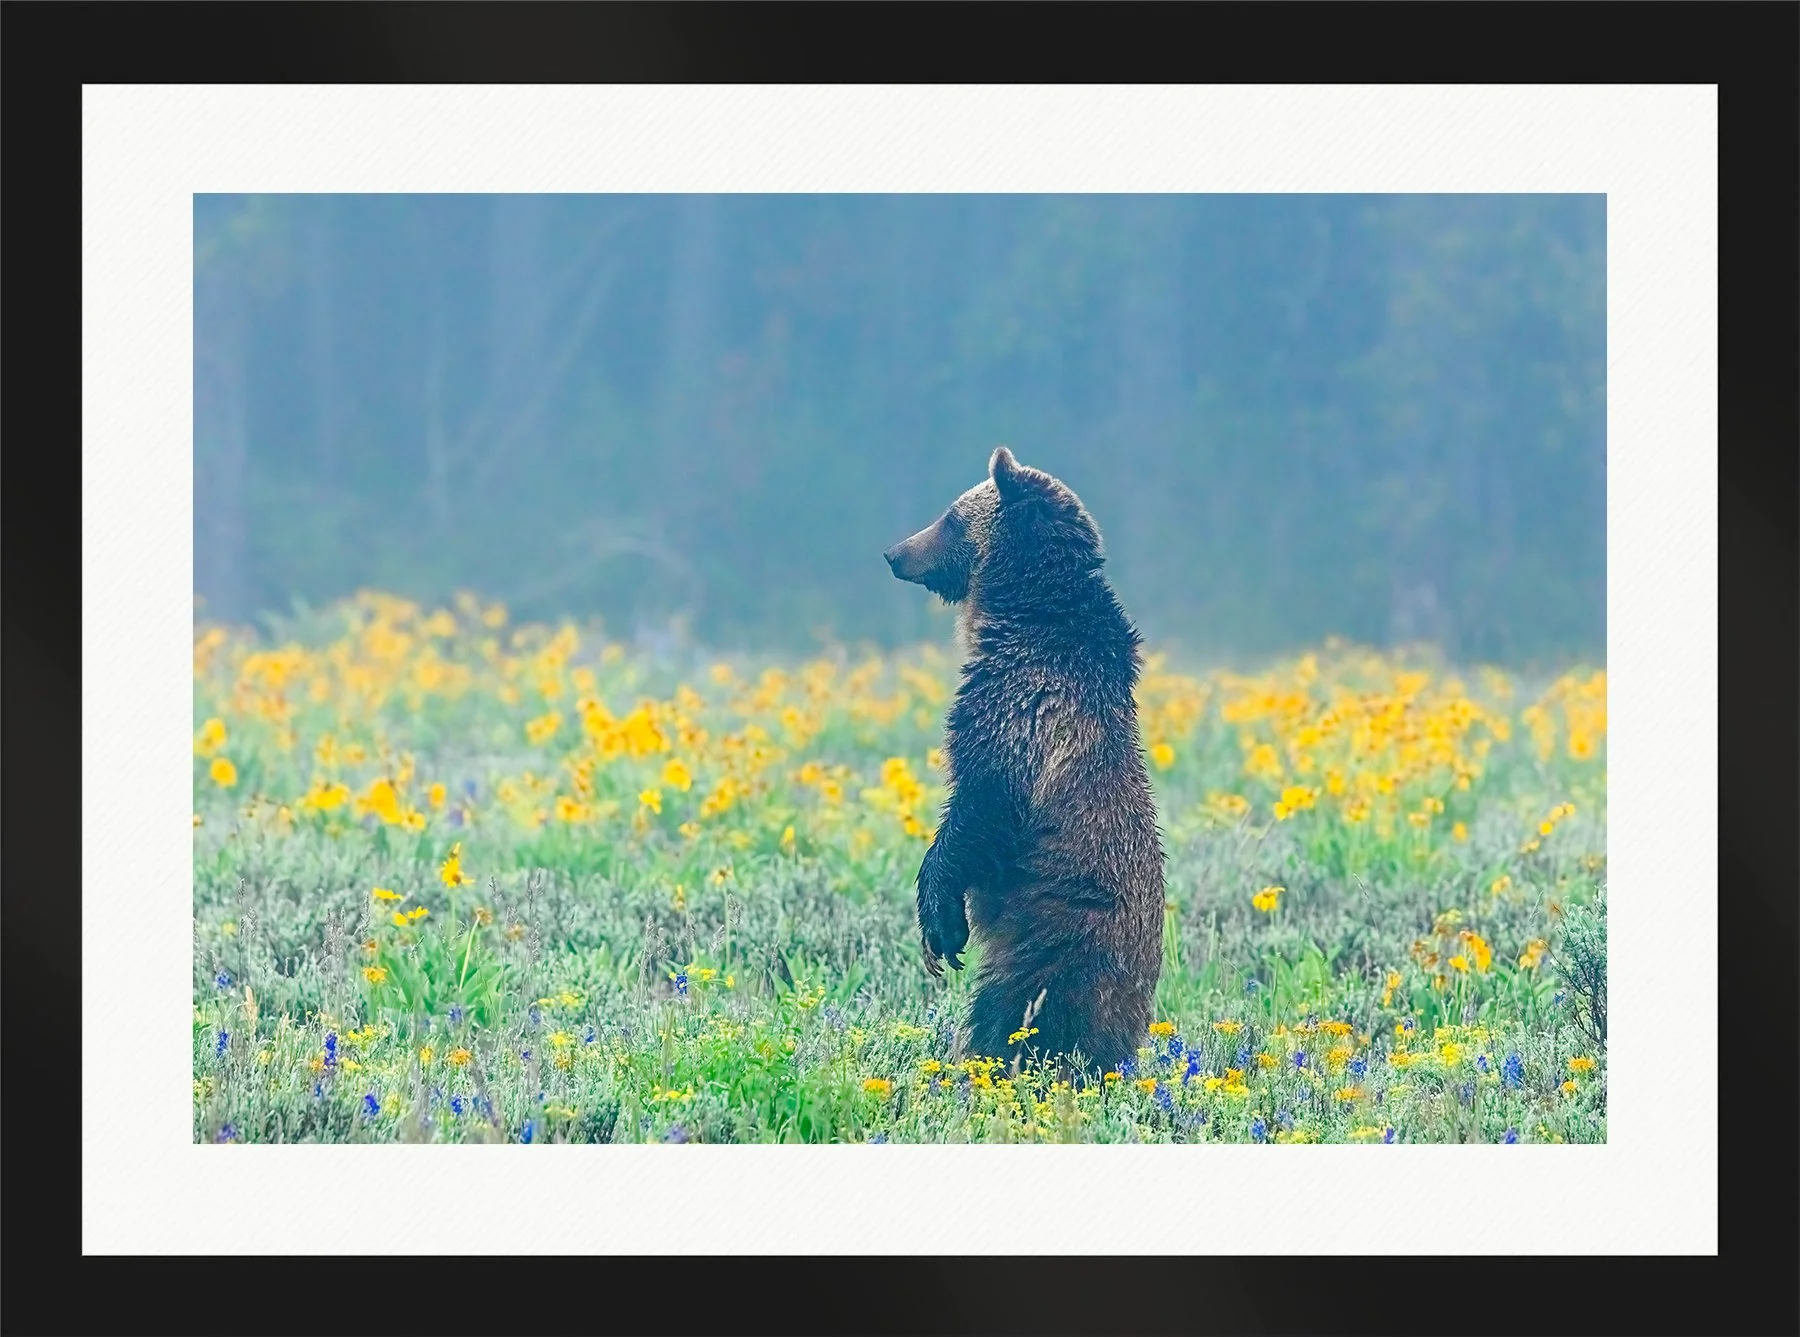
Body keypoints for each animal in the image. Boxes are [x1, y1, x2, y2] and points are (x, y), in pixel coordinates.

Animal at [883, 446, 1165, 1077]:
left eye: (950, 517)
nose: (893, 553)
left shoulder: (1020, 709)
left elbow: (980, 807)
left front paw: (940, 925)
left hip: (1061, 939)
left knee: (1016, 1015)